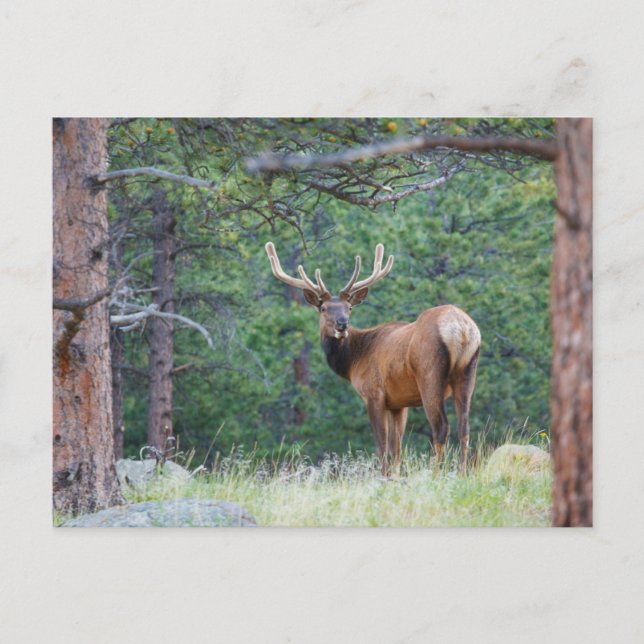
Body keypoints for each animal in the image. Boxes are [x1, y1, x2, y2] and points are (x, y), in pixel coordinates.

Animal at [265, 241, 481, 476]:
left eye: (349, 307)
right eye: (323, 308)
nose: (342, 324)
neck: (353, 361)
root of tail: (462, 329)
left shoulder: (373, 393)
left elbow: (381, 445)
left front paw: (384, 477)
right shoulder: (398, 403)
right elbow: (396, 447)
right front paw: (395, 476)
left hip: (429, 374)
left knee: (441, 427)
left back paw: (435, 475)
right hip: (468, 372)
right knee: (465, 428)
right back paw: (462, 473)